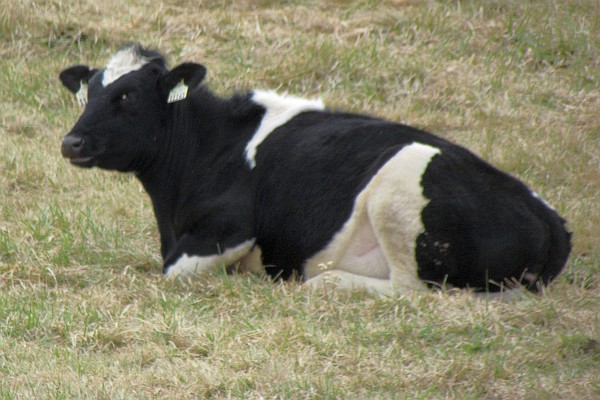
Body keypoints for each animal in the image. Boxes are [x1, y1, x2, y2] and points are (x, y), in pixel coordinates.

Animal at [59, 45, 572, 296]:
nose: (71, 142)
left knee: (410, 289)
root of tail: (550, 219)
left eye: (127, 96)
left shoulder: (228, 232)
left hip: (400, 188)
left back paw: (325, 283)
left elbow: (173, 271)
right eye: (88, 94)